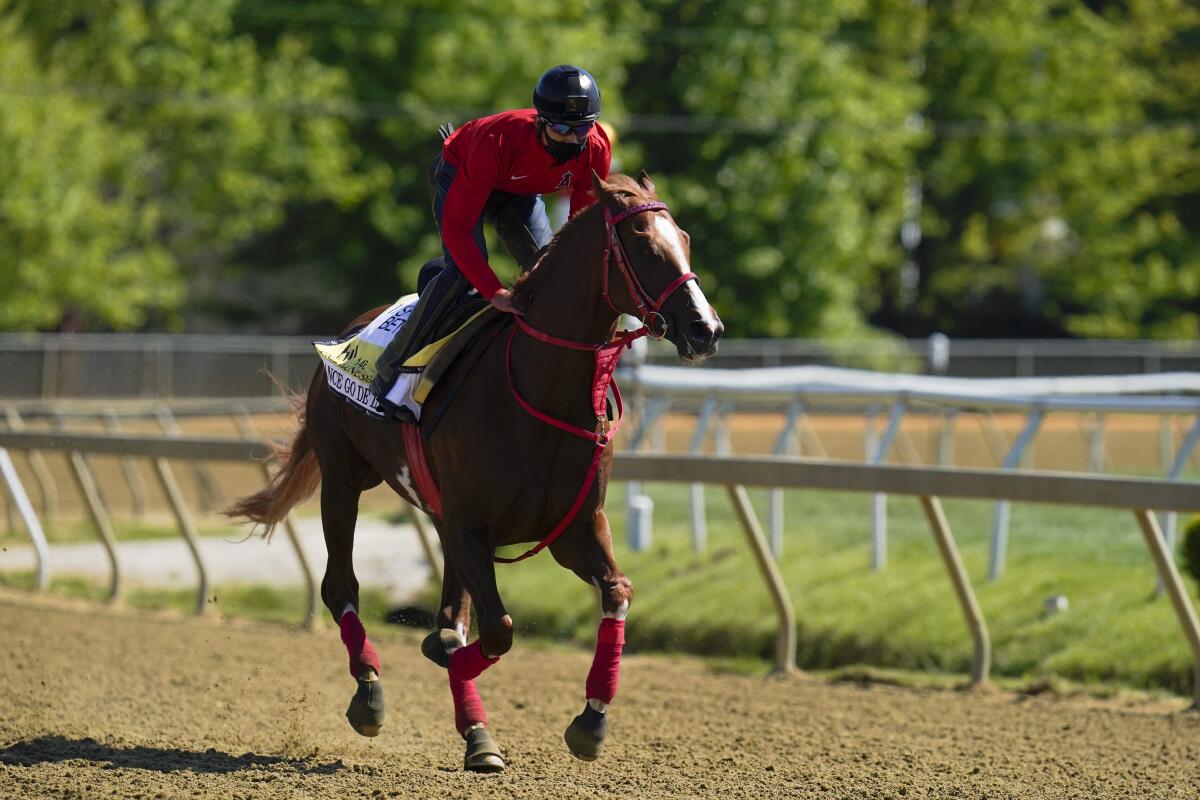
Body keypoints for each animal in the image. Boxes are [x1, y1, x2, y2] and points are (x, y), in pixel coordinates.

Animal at [225, 170, 720, 777]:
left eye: (686, 239)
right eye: (645, 245)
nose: (706, 328)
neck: (540, 389)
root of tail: (349, 333)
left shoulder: (575, 528)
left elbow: (615, 593)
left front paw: (590, 721)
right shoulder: (470, 526)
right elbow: (499, 629)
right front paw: (472, 719)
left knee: (450, 612)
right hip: (343, 479)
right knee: (341, 585)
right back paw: (370, 695)